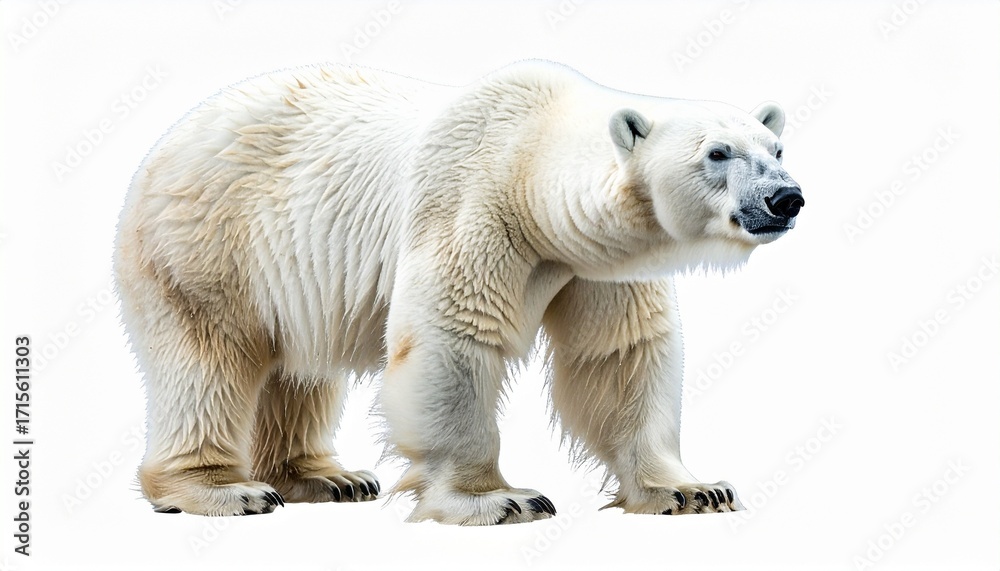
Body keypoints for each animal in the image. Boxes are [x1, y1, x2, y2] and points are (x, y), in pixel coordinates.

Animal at [113, 60, 803, 525]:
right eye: (718, 153)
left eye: (776, 147)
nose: (786, 198)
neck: (529, 158)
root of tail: (165, 141)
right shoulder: (472, 205)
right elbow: (453, 339)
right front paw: (499, 498)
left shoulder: (595, 265)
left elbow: (620, 355)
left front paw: (691, 490)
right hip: (210, 244)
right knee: (208, 359)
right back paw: (224, 490)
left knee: (301, 368)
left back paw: (330, 478)